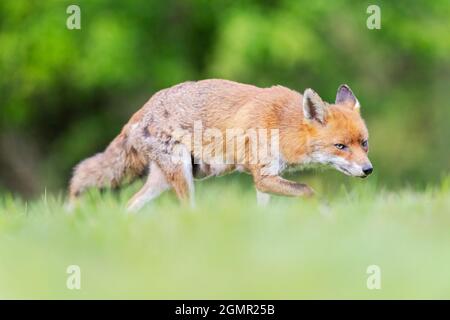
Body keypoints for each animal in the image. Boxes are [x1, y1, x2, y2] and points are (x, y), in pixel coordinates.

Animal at [68, 79, 370, 211]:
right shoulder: (263, 177)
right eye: (340, 146)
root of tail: (141, 111)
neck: (282, 125)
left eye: (364, 143)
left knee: (129, 206)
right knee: (187, 212)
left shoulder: (266, 178)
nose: (368, 170)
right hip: (182, 176)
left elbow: (264, 210)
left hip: (161, 181)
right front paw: (328, 215)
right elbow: (309, 191)